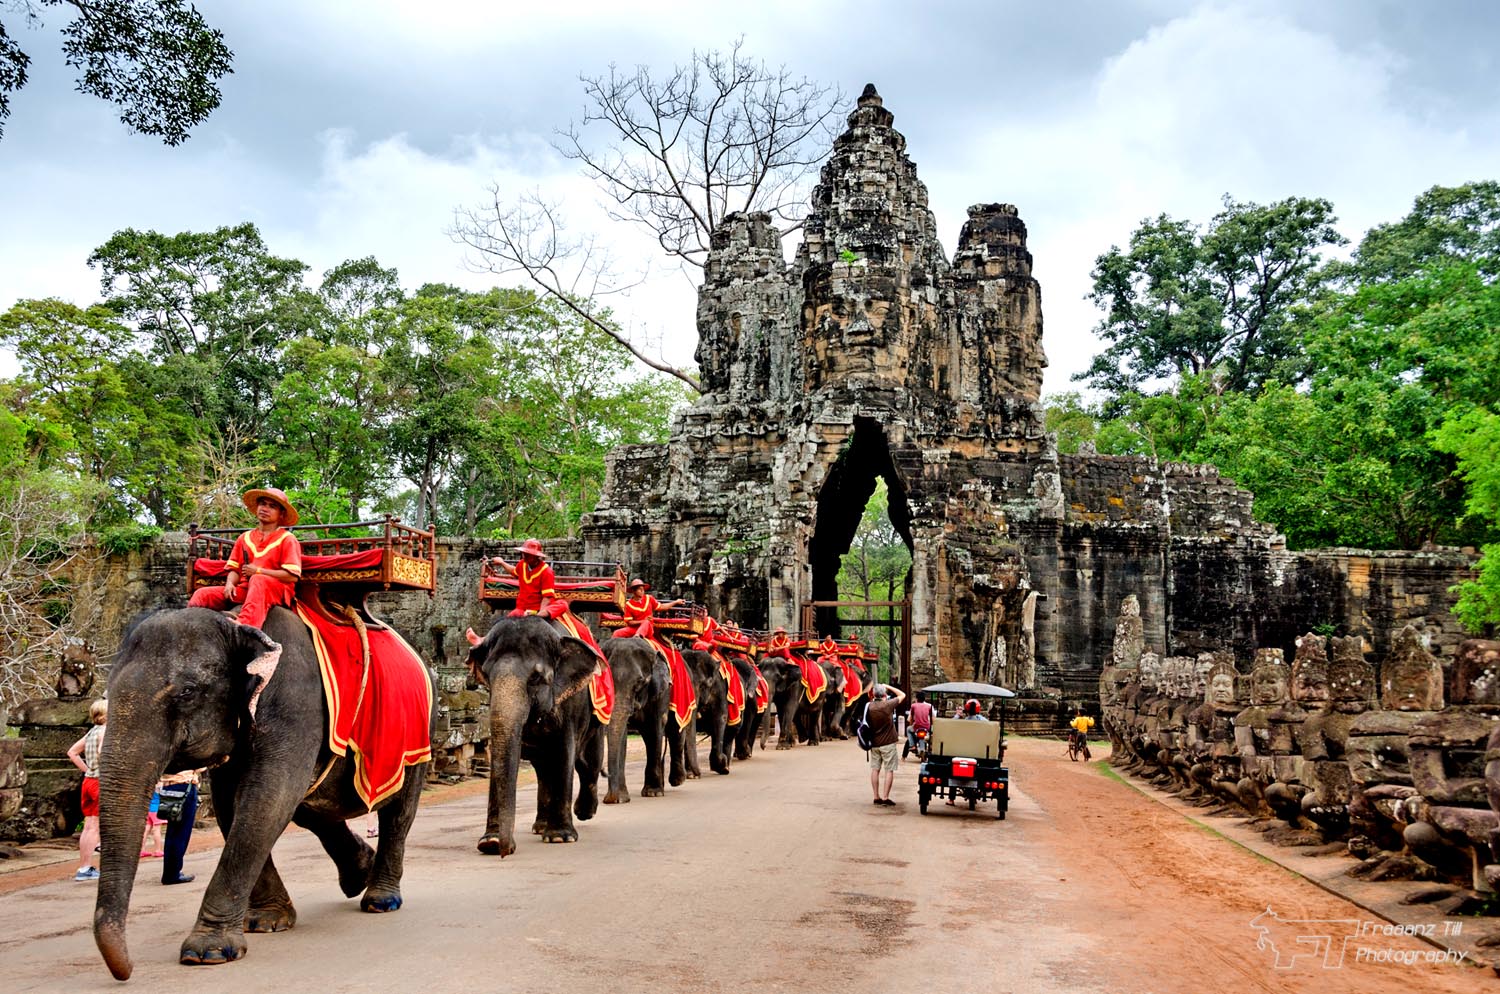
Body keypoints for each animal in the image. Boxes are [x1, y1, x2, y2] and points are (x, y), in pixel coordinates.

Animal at [92, 605, 435, 977]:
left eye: (187, 692)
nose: (127, 971)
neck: (235, 623)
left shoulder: (296, 704)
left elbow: (267, 797)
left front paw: (207, 952)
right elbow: (235, 804)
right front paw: (267, 922)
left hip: (419, 735)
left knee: (398, 813)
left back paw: (380, 900)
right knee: (309, 809)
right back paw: (359, 873)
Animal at [471, 614, 606, 857]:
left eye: (535, 678)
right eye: (487, 675)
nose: (504, 851)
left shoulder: (572, 701)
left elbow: (565, 752)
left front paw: (560, 838)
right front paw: (489, 842)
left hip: (597, 719)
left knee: (589, 763)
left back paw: (583, 813)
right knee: (544, 770)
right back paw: (541, 826)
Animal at [597, 638, 669, 809]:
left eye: (640, 682)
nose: (608, 798)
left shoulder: (658, 695)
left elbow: (655, 729)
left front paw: (653, 793)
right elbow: (621, 735)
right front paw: (620, 799)